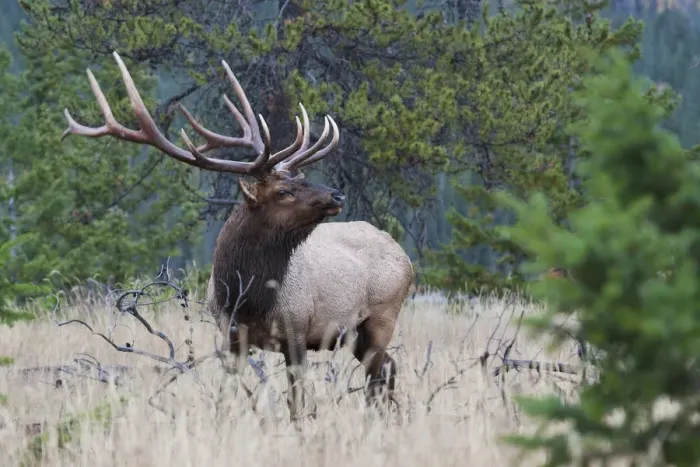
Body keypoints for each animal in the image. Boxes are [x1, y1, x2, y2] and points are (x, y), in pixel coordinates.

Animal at [61, 51, 414, 421]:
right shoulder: (232, 338)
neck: (247, 299)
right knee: (387, 368)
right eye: (284, 190)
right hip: (356, 334)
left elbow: (297, 405)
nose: (337, 195)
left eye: (301, 179)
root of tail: (404, 256)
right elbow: (228, 395)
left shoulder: (297, 332)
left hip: (381, 317)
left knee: (379, 373)